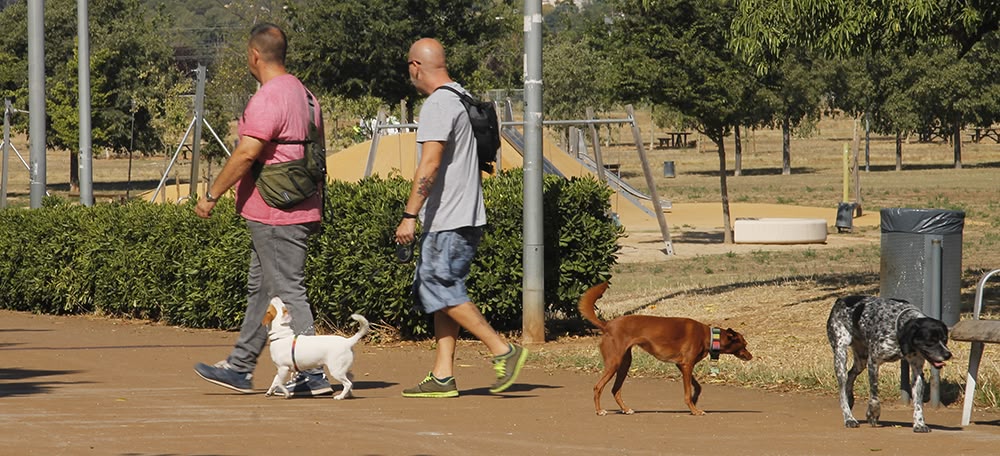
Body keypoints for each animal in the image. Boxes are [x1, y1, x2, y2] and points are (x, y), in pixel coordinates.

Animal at [580, 284, 752, 416]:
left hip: (625, 363)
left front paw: (695, 401)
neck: (708, 336)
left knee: (615, 389)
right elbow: (687, 393)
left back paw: (625, 409)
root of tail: (607, 325)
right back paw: (599, 411)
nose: (751, 356)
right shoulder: (687, 365)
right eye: (744, 344)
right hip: (614, 362)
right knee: (598, 387)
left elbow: (697, 387)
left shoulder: (682, 365)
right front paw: (694, 410)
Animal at [828, 296, 952, 432]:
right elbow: (874, 395)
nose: (948, 355)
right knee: (842, 391)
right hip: (841, 356)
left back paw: (849, 397)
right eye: (930, 341)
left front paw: (919, 423)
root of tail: (841, 299)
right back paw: (849, 417)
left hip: (861, 360)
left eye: (945, 339)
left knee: (851, 374)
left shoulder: (917, 371)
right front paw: (873, 413)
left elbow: (918, 403)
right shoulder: (873, 363)